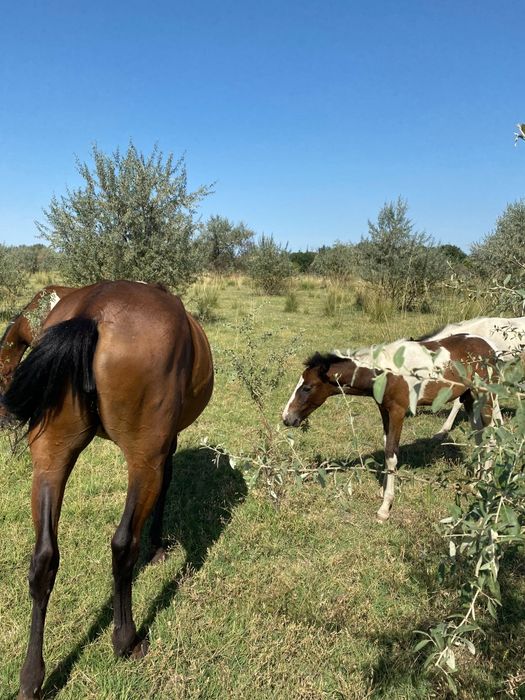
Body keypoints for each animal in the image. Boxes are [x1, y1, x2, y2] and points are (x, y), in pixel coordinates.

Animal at [2, 280, 214, 700]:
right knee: (122, 544)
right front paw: (158, 546)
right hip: (143, 457)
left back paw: (31, 678)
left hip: (51, 456)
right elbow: (165, 486)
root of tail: (93, 311)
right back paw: (126, 640)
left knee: (43, 559)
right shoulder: (163, 448)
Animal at [282, 333, 500, 522]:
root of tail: (489, 347)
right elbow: (387, 447)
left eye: (307, 387)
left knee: (491, 436)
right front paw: (383, 490)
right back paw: (476, 480)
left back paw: (487, 482)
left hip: (486, 397)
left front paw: (385, 508)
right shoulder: (384, 410)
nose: (286, 418)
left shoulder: (398, 411)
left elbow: (391, 453)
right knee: (479, 436)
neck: (385, 373)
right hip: (469, 398)